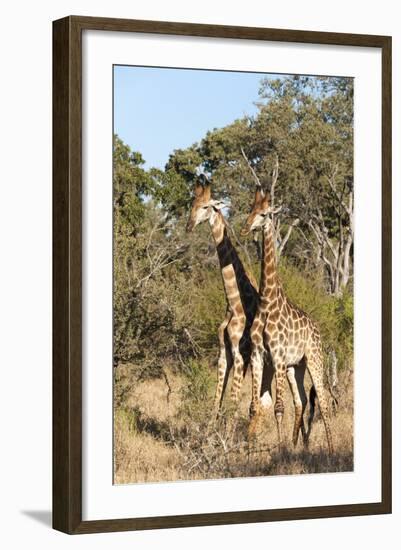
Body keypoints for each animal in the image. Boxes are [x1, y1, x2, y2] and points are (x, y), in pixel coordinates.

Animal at [241, 185, 332, 452]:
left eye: (264, 214)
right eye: (251, 210)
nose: (245, 228)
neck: (267, 302)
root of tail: (317, 328)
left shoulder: (278, 357)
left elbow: (279, 408)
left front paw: (280, 451)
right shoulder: (259, 355)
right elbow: (254, 407)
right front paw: (248, 452)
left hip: (314, 359)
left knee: (323, 403)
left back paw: (331, 450)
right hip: (296, 367)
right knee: (301, 401)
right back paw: (295, 445)